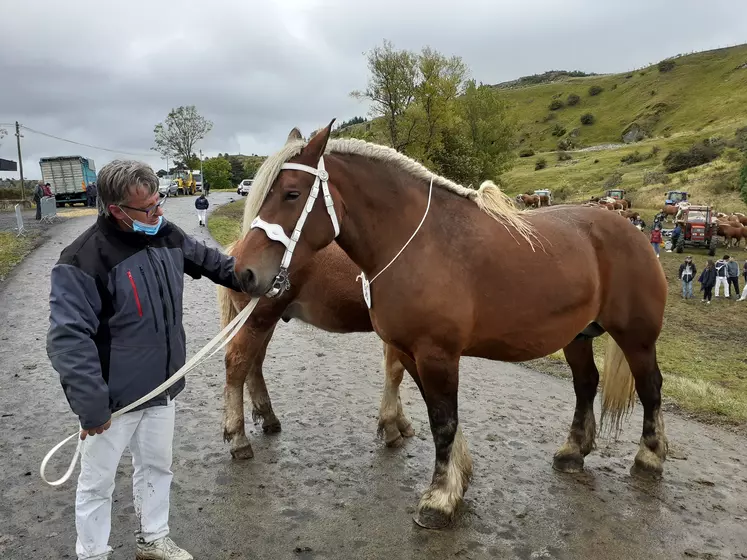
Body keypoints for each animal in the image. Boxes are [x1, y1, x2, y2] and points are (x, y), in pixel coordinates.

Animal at [231, 121, 668, 528]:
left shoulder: (437, 355)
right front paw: (456, 480)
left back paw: (649, 457)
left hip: (637, 338)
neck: (418, 243)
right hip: (577, 336)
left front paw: (439, 499)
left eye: (291, 193)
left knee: (650, 388)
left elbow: (443, 423)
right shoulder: (412, 353)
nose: (243, 272)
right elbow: (439, 417)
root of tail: (631, 228)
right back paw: (573, 451)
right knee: (586, 384)